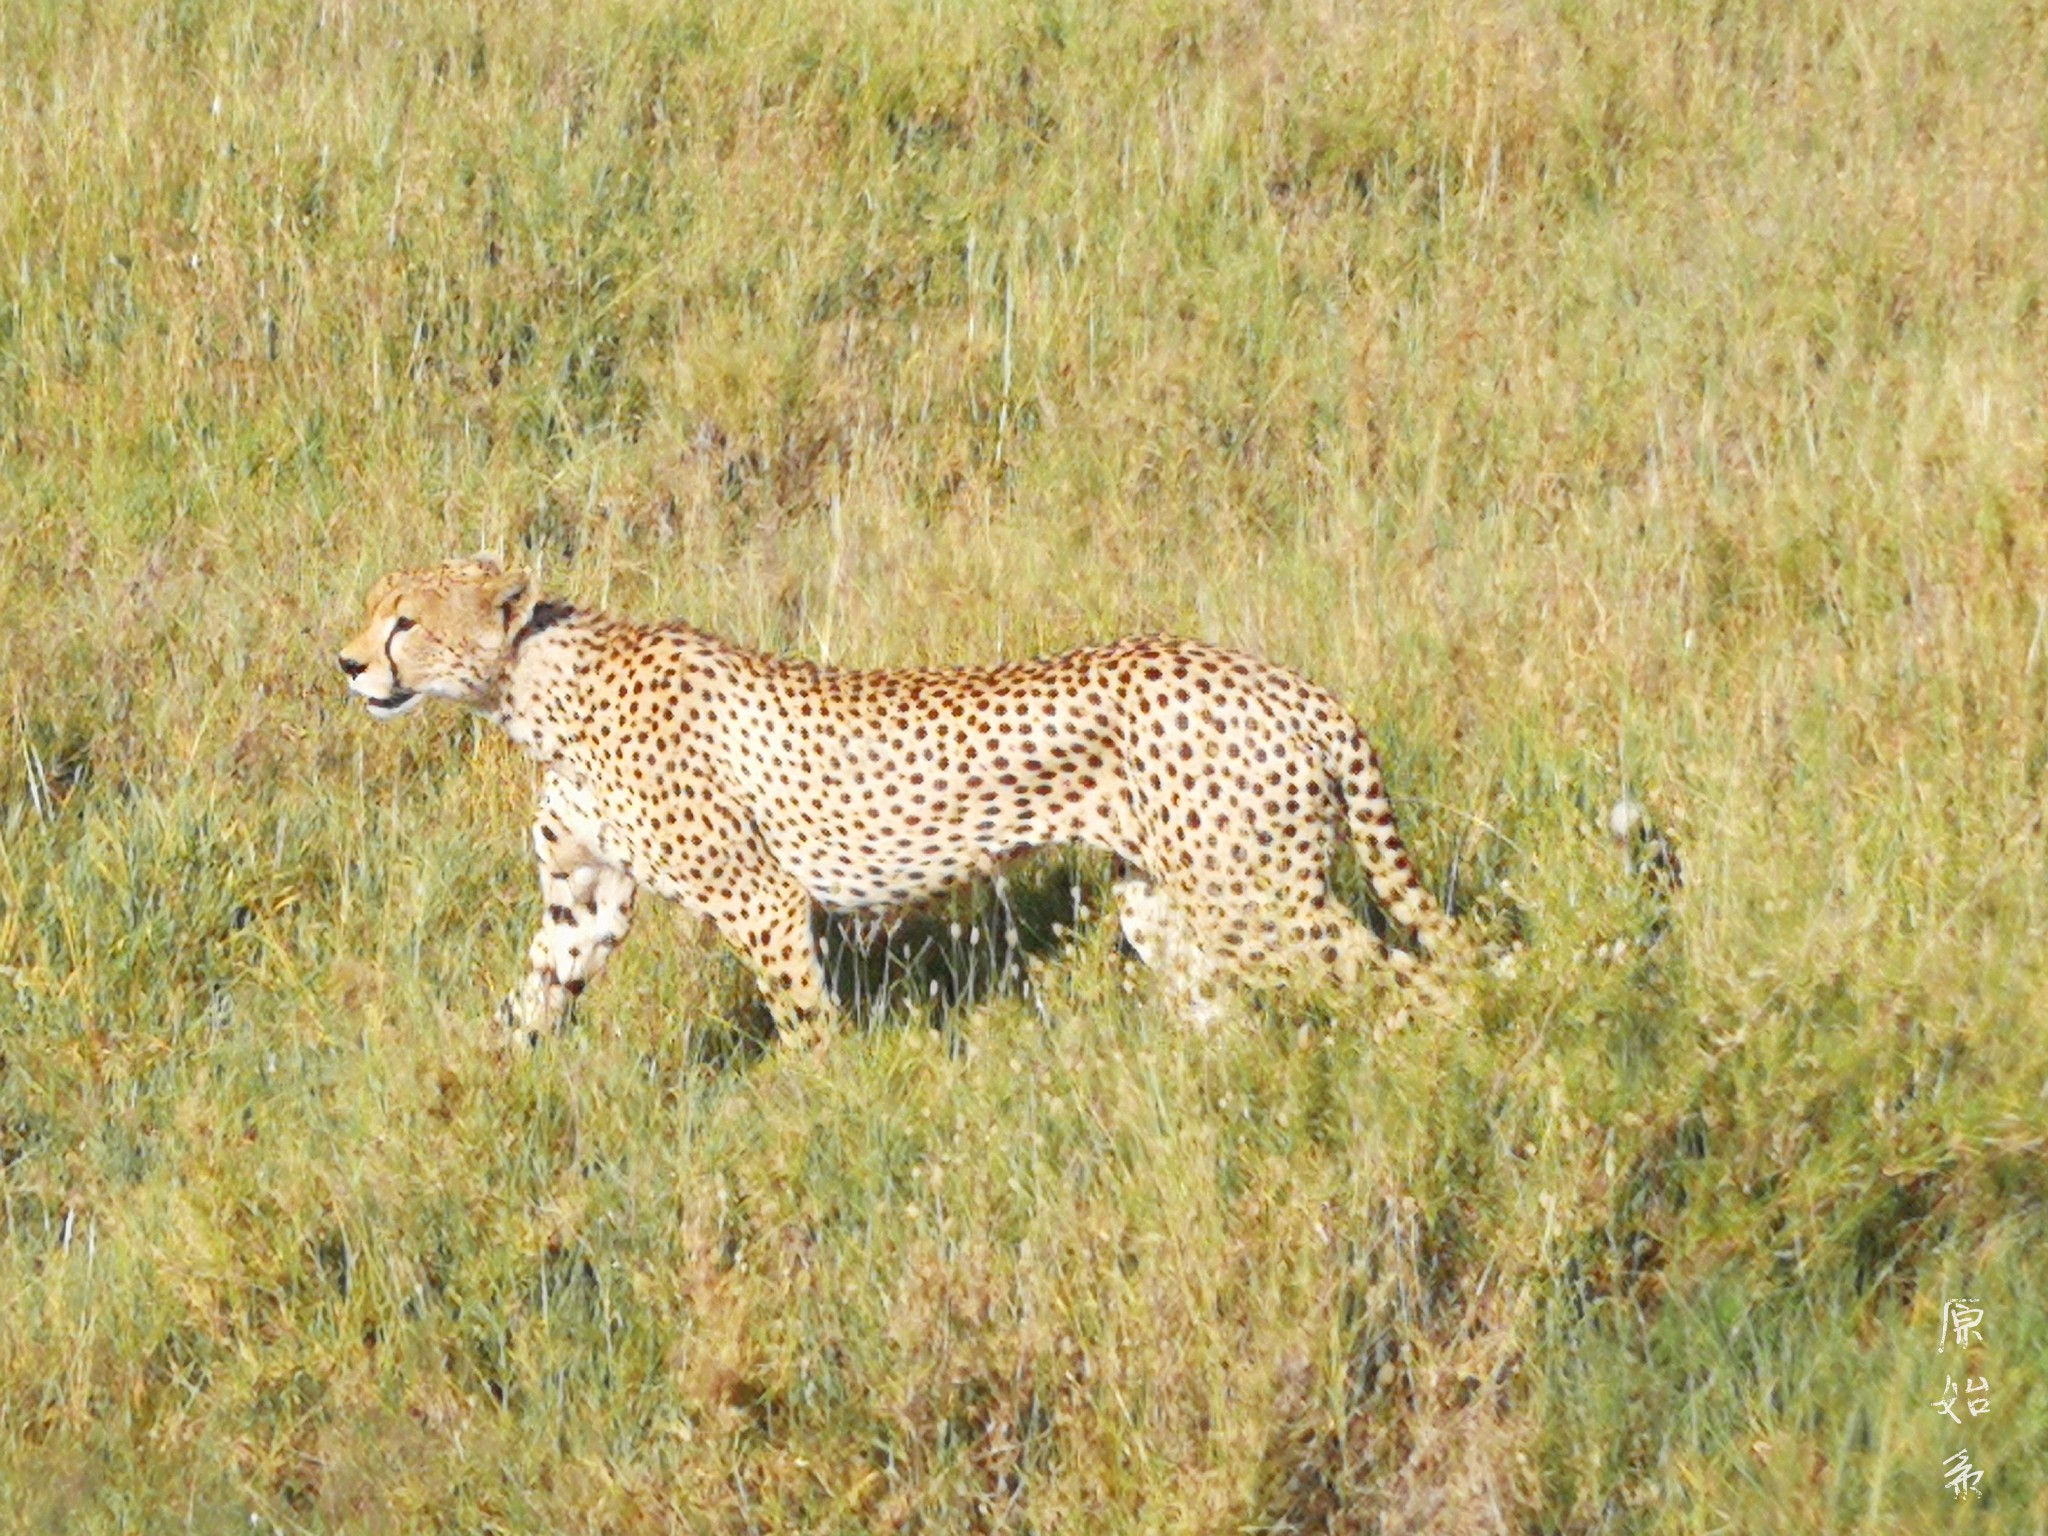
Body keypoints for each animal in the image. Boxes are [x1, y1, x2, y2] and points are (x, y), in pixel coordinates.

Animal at [331, 561, 1458, 1056]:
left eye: (406, 622)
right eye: (374, 609)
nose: (346, 664)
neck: (533, 689)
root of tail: (1290, 684)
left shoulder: (759, 902)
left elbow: (802, 1024)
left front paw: (816, 1118)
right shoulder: (584, 905)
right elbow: (530, 1002)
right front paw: (470, 1101)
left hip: (1257, 896)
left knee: (1415, 982)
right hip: (1167, 902)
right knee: (1223, 1010)